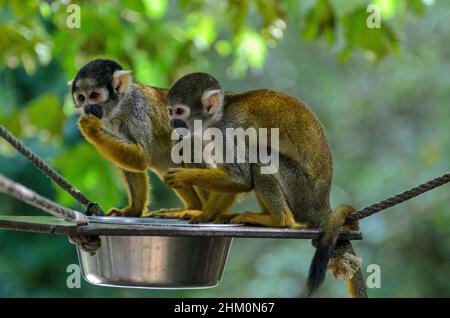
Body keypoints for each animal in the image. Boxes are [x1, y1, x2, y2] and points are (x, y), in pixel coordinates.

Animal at [162, 72, 358, 296]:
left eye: (179, 111)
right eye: (170, 110)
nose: (172, 121)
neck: (218, 117)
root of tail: (322, 206)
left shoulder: (228, 131)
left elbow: (241, 177)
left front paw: (184, 176)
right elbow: (235, 180)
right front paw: (205, 215)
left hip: (300, 192)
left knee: (259, 156)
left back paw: (279, 220)